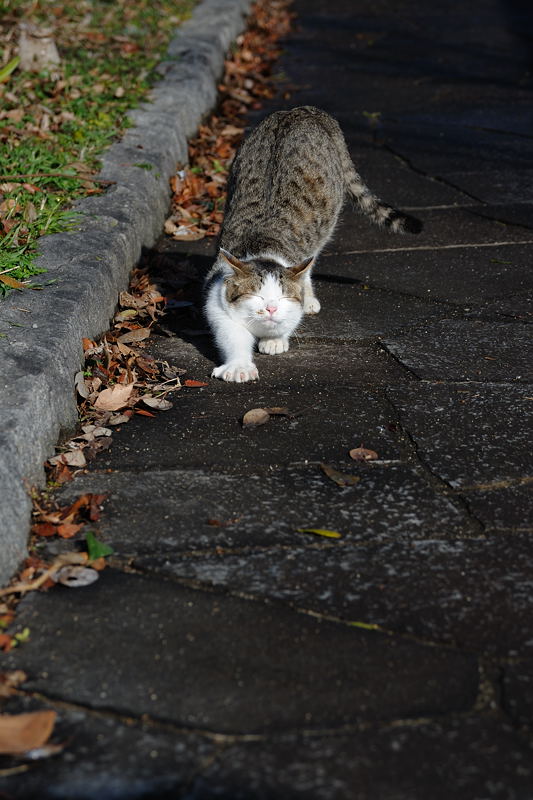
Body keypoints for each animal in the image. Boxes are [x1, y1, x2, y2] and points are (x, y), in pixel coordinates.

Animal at [204, 105, 420, 382]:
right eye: (258, 296)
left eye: (283, 297)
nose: (271, 309)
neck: (263, 246)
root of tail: (300, 110)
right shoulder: (218, 304)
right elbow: (233, 336)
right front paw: (239, 366)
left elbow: (291, 313)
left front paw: (275, 339)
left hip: (326, 219)